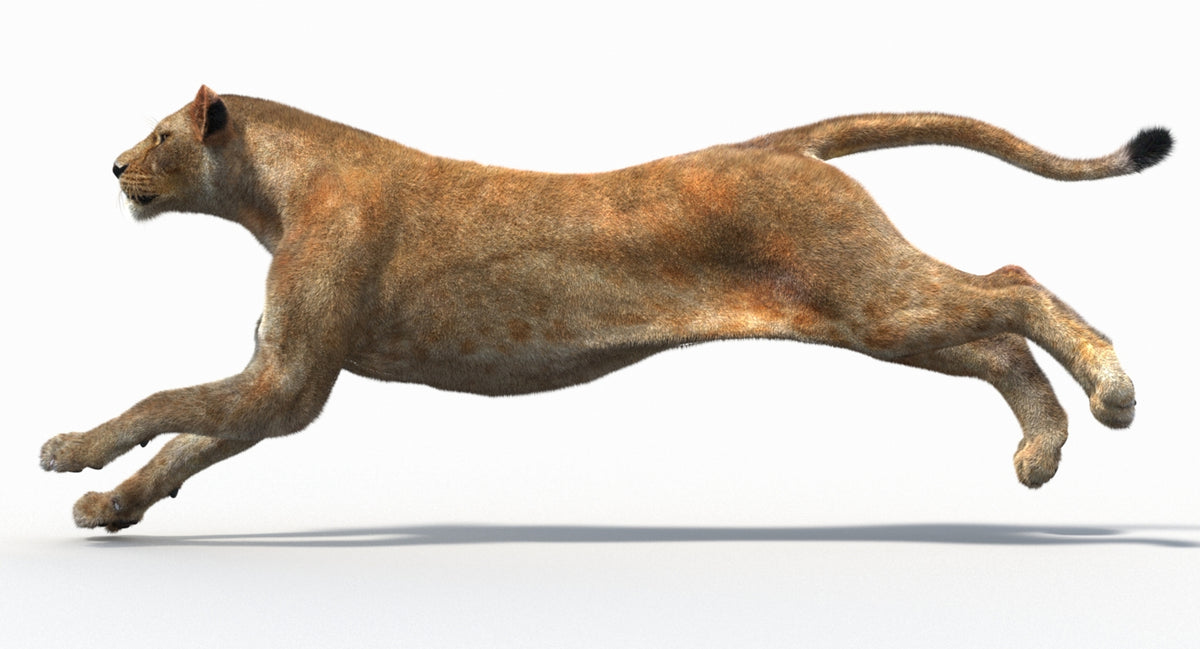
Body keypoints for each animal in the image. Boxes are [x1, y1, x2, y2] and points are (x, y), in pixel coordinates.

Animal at [41, 86, 1172, 532]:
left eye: (161, 136)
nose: (115, 167)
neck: (270, 190)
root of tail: (779, 144)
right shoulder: (278, 382)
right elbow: (186, 445)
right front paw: (111, 506)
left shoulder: (289, 378)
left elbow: (159, 405)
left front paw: (67, 451)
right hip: (874, 316)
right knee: (997, 343)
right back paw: (1043, 450)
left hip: (877, 296)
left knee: (1011, 285)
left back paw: (1112, 393)